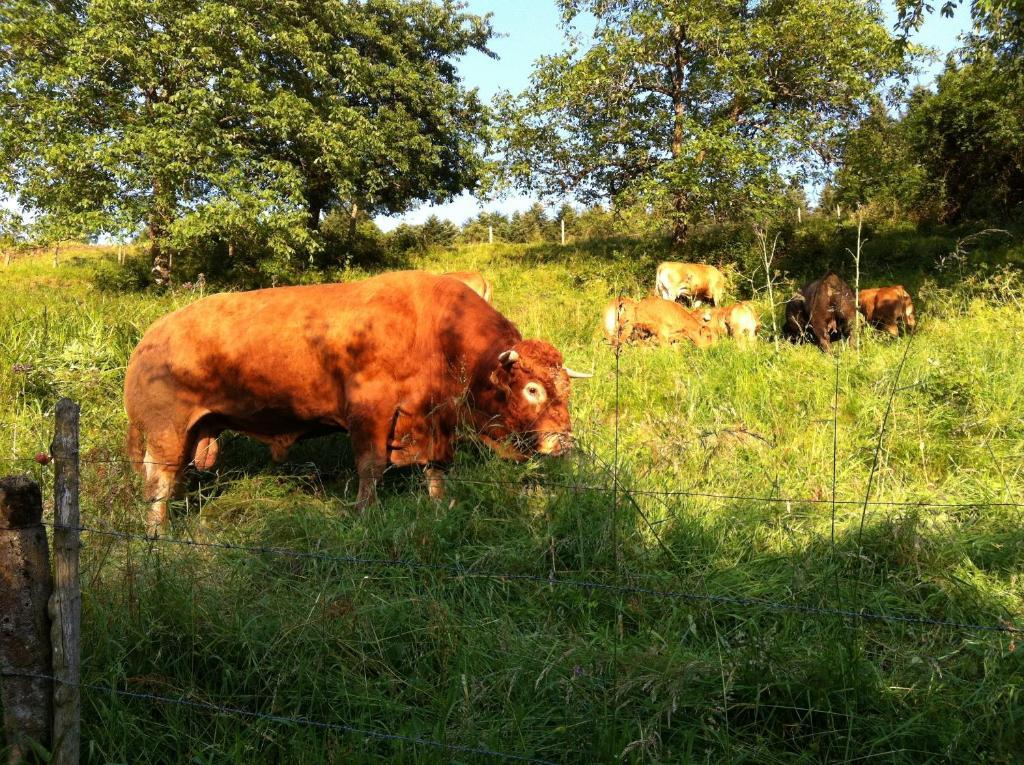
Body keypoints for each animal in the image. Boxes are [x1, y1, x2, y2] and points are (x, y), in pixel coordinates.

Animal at [125, 272, 593, 536]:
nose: (563, 443)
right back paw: (157, 529)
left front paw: (440, 505)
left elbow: (436, 467)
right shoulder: (371, 414)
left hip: (192, 432)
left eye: (565, 390)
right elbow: (371, 466)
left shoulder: (434, 420)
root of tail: (149, 339)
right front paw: (366, 513)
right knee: (159, 478)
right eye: (532, 390)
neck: (434, 331)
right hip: (167, 433)